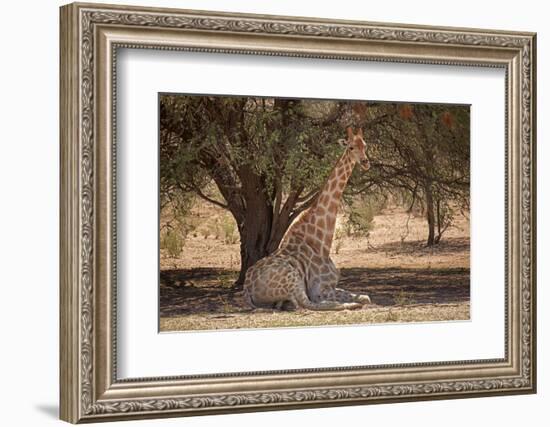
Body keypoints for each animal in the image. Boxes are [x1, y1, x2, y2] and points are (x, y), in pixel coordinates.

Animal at [246, 127, 376, 310]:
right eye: (351, 147)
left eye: (365, 145)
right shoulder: (320, 290)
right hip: (293, 277)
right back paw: (350, 305)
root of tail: (247, 289)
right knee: (309, 304)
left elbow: (366, 296)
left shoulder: (333, 286)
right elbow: (345, 300)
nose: (365, 162)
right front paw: (354, 302)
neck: (321, 243)